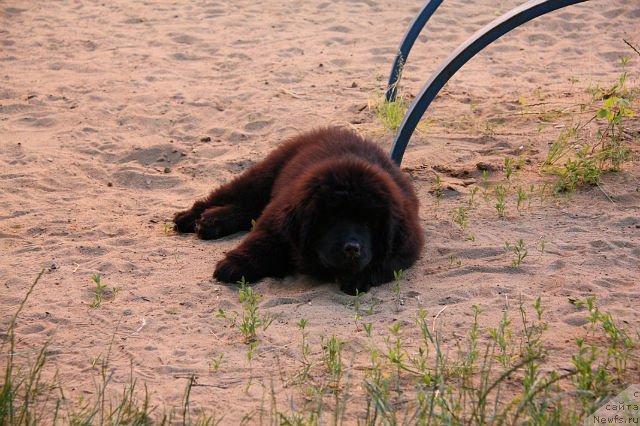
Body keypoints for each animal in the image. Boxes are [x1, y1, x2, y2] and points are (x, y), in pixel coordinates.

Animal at [175, 125, 424, 294]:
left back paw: (210, 221)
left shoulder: (405, 247)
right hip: (264, 174)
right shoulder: (277, 221)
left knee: (245, 209)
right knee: (235, 197)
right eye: (331, 218)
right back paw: (191, 219)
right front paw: (233, 265)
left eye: (368, 222)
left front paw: (356, 277)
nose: (352, 249)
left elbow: (384, 263)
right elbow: (259, 242)